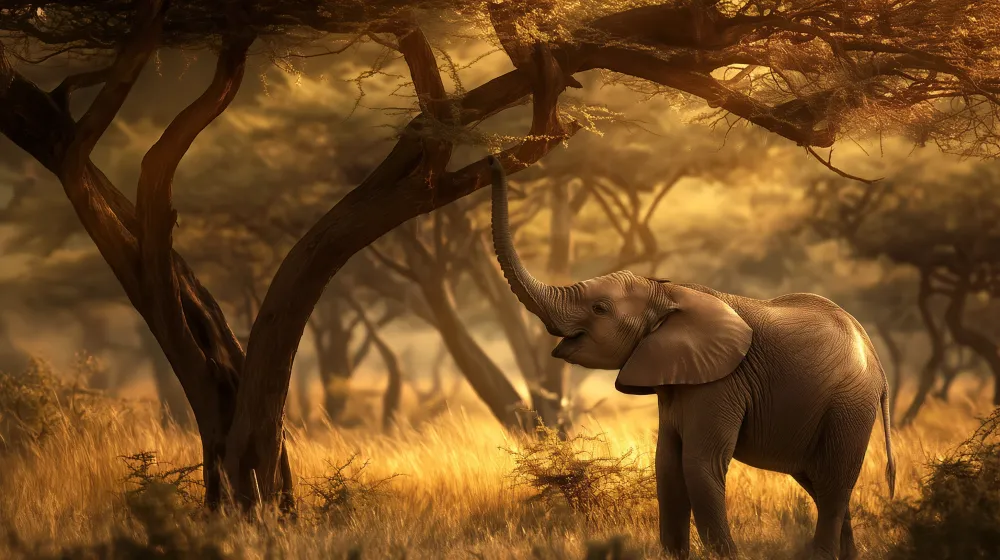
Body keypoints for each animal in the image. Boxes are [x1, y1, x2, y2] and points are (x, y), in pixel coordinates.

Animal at [485, 156, 895, 559]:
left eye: (600, 308)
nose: (493, 160)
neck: (666, 293)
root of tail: (878, 363)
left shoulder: (721, 381)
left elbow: (699, 465)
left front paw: (728, 556)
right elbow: (667, 465)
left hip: (849, 404)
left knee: (833, 483)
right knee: (819, 482)